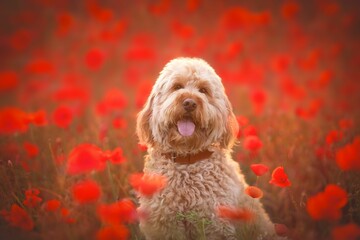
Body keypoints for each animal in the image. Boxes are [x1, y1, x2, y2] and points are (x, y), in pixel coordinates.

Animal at [135, 57, 282, 239]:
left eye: (203, 90)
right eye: (177, 86)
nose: (190, 103)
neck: (186, 159)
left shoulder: (215, 224)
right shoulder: (163, 225)